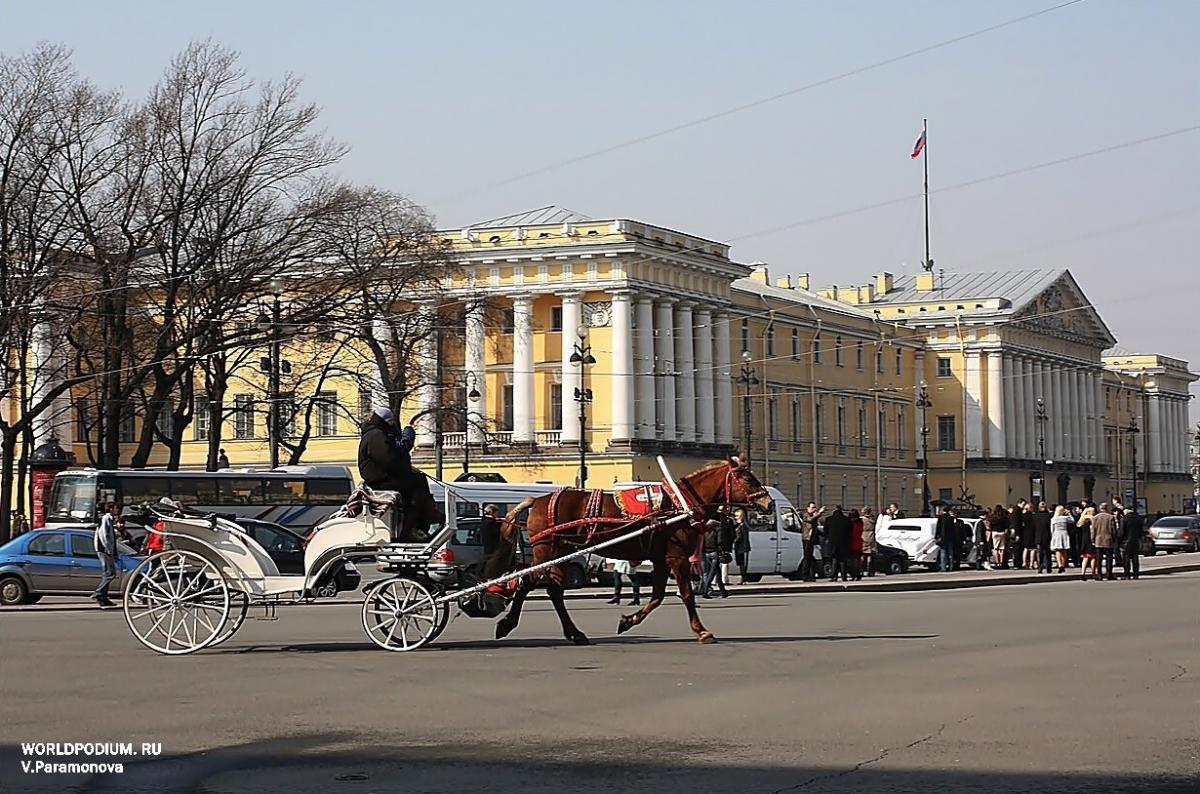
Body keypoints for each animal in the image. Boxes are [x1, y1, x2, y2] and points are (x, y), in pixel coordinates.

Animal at [492, 460, 772, 647]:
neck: (680, 506)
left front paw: (628, 620)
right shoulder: (677, 558)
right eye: (748, 479)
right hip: (546, 552)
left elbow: (657, 597)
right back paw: (507, 624)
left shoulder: (661, 560)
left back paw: (575, 633)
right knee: (528, 583)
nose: (768, 503)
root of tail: (537, 500)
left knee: (554, 591)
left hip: (562, 552)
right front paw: (702, 631)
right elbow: (686, 595)